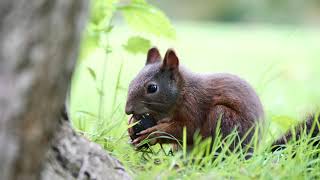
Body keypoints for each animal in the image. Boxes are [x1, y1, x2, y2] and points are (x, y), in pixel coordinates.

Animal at [125, 47, 264, 150]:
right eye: (131, 82)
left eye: (152, 88)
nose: (128, 110)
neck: (182, 92)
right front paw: (131, 125)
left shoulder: (194, 106)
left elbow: (188, 129)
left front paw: (153, 133)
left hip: (224, 118)